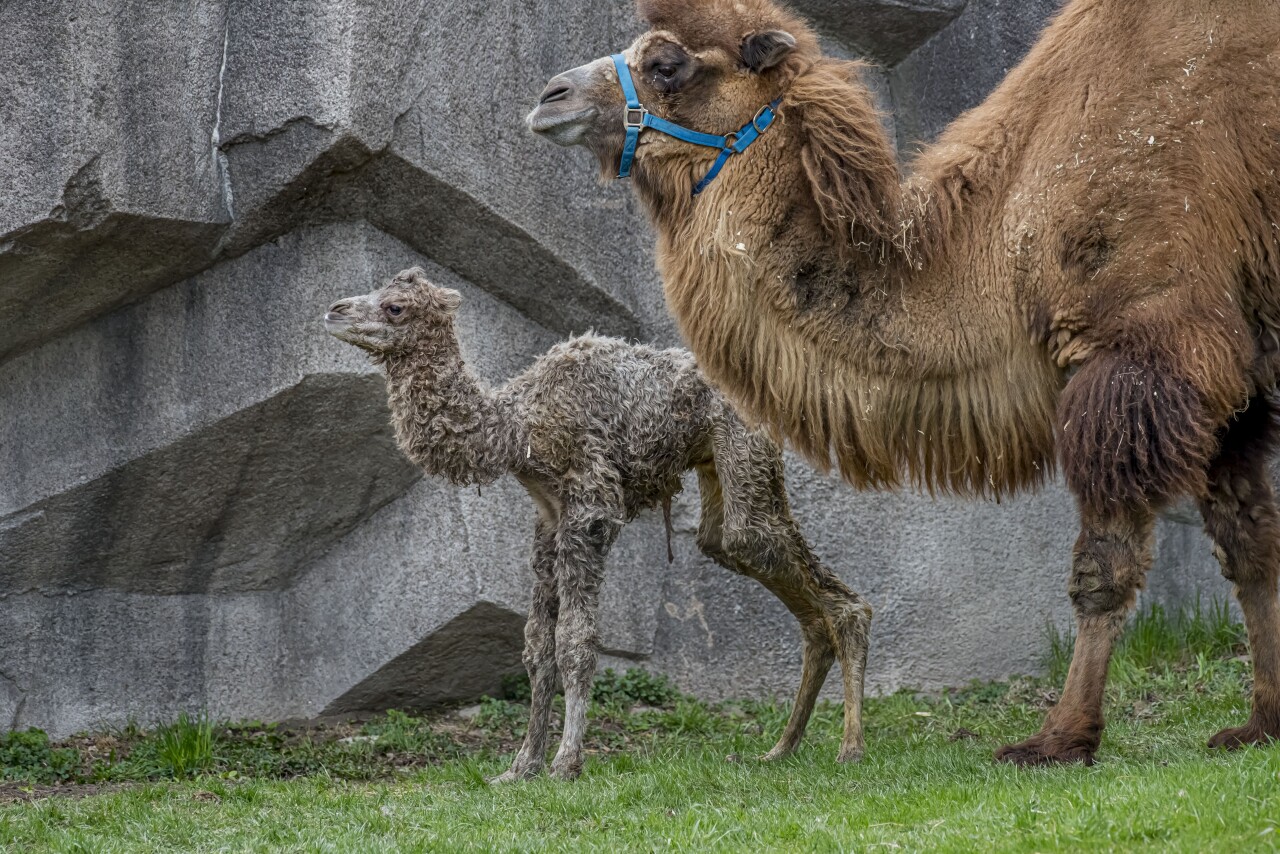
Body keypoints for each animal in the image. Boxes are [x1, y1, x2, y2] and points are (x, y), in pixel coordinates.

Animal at [324, 267, 872, 781]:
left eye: (394, 307)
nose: (333, 309)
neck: (518, 428)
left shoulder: (590, 510)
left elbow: (575, 642)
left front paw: (566, 762)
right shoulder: (548, 520)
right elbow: (536, 648)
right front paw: (520, 767)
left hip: (744, 445)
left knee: (791, 566)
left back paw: (849, 748)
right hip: (717, 465)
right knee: (738, 552)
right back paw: (781, 748)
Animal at [526, 0, 1280, 765]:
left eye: (666, 64)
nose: (548, 96)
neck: (1008, 237)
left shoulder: (1147, 354)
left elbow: (1102, 569)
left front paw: (1056, 738)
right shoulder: (1234, 385)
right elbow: (1249, 544)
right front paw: (1259, 725)